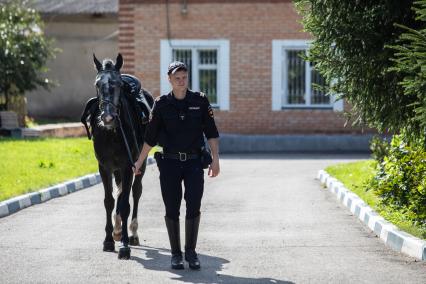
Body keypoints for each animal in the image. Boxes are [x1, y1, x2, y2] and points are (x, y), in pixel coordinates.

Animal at [80, 53, 154, 260]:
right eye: (97, 84)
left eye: (119, 84)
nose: (108, 118)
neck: (112, 133)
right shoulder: (105, 167)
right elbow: (109, 201)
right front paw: (109, 240)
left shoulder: (128, 166)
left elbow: (126, 203)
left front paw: (125, 245)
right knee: (120, 193)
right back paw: (118, 229)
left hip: (139, 165)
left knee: (135, 192)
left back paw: (133, 233)